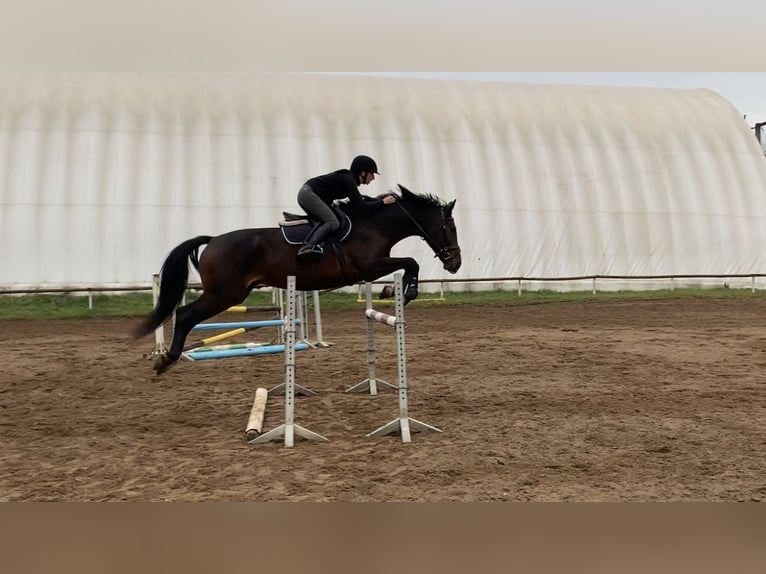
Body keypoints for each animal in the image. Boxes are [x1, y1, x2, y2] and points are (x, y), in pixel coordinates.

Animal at [133, 185, 462, 374]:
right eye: (450, 228)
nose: (455, 264)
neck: (374, 224)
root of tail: (212, 240)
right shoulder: (367, 268)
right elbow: (411, 263)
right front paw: (402, 292)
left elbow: (409, 263)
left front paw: (392, 293)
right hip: (224, 294)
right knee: (185, 314)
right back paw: (166, 360)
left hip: (227, 294)